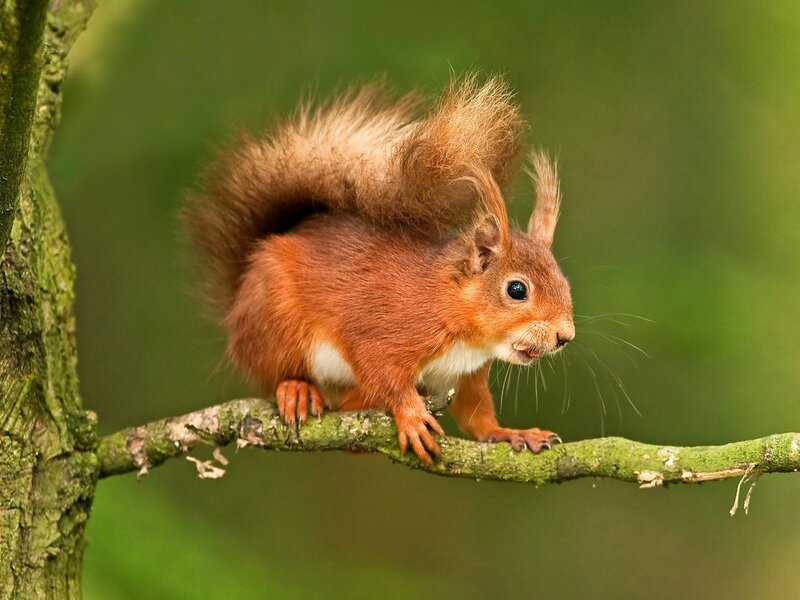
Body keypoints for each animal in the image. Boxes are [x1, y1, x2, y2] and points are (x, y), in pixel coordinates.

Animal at [184, 75, 575, 464]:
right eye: (517, 290)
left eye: (564, 283)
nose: (564, 336)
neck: (455, 313)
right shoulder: (386, 331)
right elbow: (383, 373)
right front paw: (411, 415)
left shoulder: (463, 375)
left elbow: (477, 417)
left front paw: (513, 433)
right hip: (275, 321)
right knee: (279, 372)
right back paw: (297, 388)